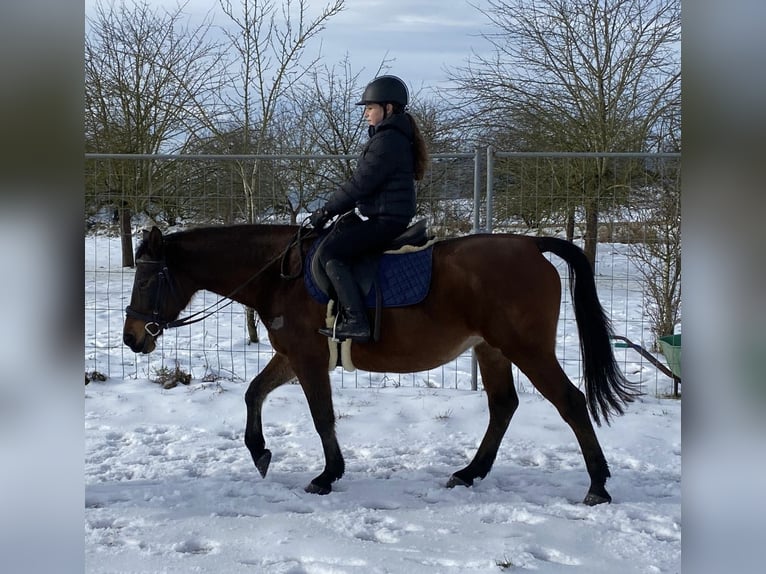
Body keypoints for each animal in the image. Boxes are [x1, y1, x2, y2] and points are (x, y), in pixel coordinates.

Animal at [124, 223, 640, 506]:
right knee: (503, 406)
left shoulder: (308, 358)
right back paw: (469, 473)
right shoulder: (291, 355)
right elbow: (254, 392)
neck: (280, 275)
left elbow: (322, 416)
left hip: (527, 349)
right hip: (491, 349)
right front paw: (260, 452)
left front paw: (327, 475)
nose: (132, 338)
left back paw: (597, 485)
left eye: (147, 280)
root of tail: (530, 245)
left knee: (570, 402)